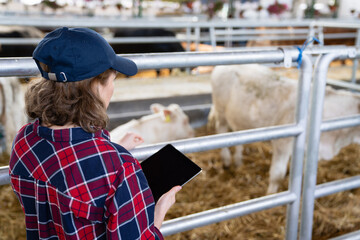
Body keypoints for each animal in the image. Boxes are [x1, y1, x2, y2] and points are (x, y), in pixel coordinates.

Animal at [210, 64, 360, 195]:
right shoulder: (282, 143)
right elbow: (277, 174)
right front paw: (271, 196)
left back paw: (238, 161)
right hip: (221, 111)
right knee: (221, 130)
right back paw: (226, 160)